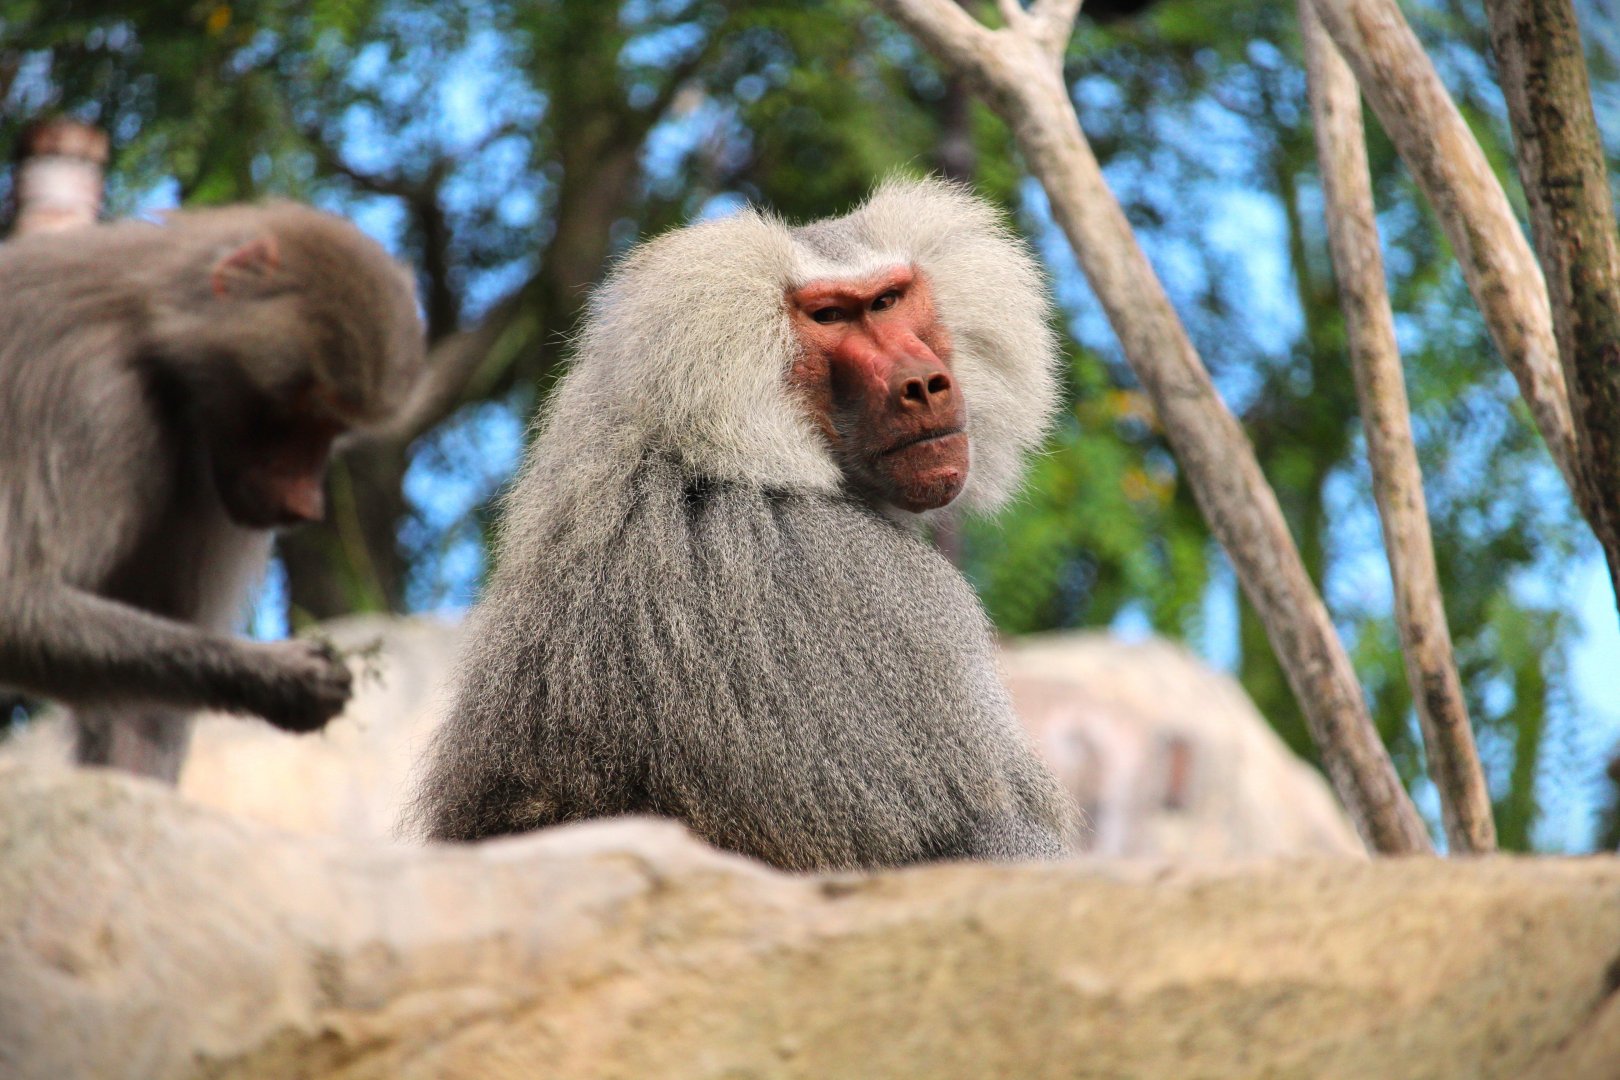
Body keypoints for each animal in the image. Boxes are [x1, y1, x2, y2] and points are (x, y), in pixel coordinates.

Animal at [0, 202, 425, 782]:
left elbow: (136, 721)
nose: (305, 505)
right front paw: (279, 675)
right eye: (305, 413)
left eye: (335, 429)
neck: (149, 340)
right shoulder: (91, 406)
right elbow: (15, 605)